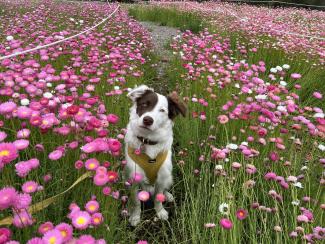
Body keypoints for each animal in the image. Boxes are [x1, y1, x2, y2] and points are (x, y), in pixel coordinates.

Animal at [123, 85, 185, 226]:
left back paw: (168, 196)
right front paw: (135, 216)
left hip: (168, 176)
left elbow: (158, 198)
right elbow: (135, 201)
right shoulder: (134, 178)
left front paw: (160, 212)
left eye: (162, 110)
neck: (148, 142)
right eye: (145, 104)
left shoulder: (162, 177)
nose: (147, 120)